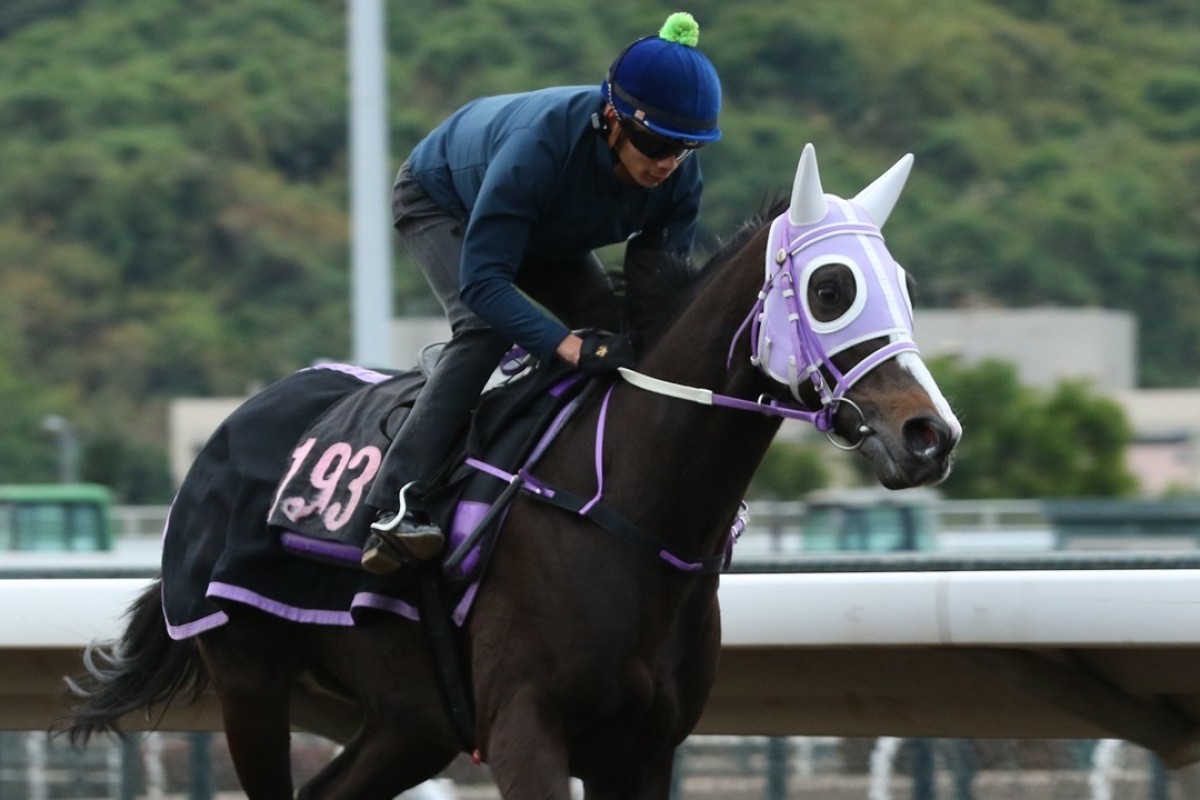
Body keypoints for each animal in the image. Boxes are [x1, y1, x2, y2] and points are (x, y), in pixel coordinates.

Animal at [58, 145, 955, 800]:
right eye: (832, 288)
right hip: (249, 677)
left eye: (906, 285)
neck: (632, 514)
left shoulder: (644, 749)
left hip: (409, 719)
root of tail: (229, 427)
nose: (930, 434)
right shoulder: (527, 727)